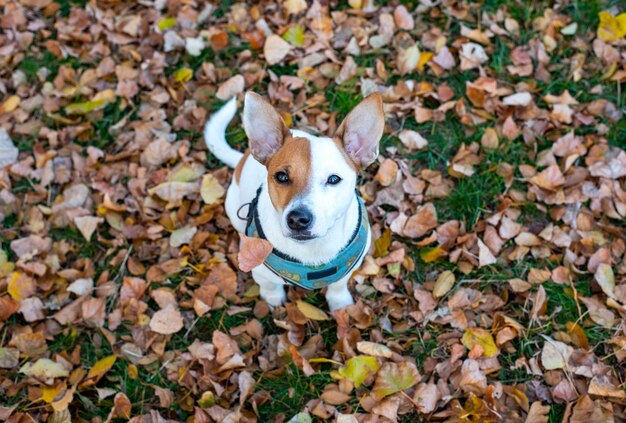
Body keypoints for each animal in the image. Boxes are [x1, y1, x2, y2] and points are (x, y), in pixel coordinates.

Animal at [204, 93, 386, 312]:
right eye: (281, 177)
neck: (312, 250)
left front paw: (339, 303)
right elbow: (269, 285)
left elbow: (339, 284)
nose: (298, 219)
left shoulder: (350, 267)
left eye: (333, 179)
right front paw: (273, 299)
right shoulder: (260, 270)